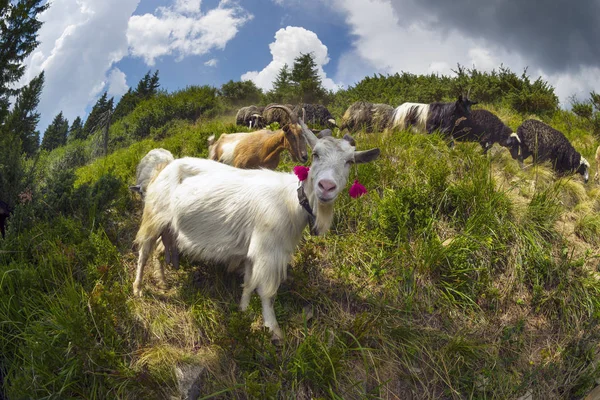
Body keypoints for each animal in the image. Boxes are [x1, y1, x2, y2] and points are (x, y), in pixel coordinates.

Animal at [135, 125, 380, 338]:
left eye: (349, 161)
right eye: (315, 154)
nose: (326, 187)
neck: (292, 200)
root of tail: (162, 168)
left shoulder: (255, 250)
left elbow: (249, 282)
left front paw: (243, 311)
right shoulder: (268, 250)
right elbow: (267, 292)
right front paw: (273, 330)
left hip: (170, 227)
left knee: (159, 249)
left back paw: (162, 281)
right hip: (154, 216)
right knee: (144, 252)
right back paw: (138, 289)